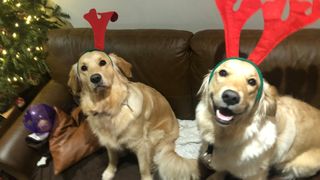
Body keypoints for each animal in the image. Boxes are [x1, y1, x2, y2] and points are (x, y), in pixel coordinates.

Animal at [68, 51, 199, 180]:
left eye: (102, 62)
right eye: (83, 68)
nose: (95, 78)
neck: (109, 106)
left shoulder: (140, 143)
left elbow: (143, 168)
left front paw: (146, 177)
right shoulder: (108, 141)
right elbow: (112, 158)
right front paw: (109, 171)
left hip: (155, 135)